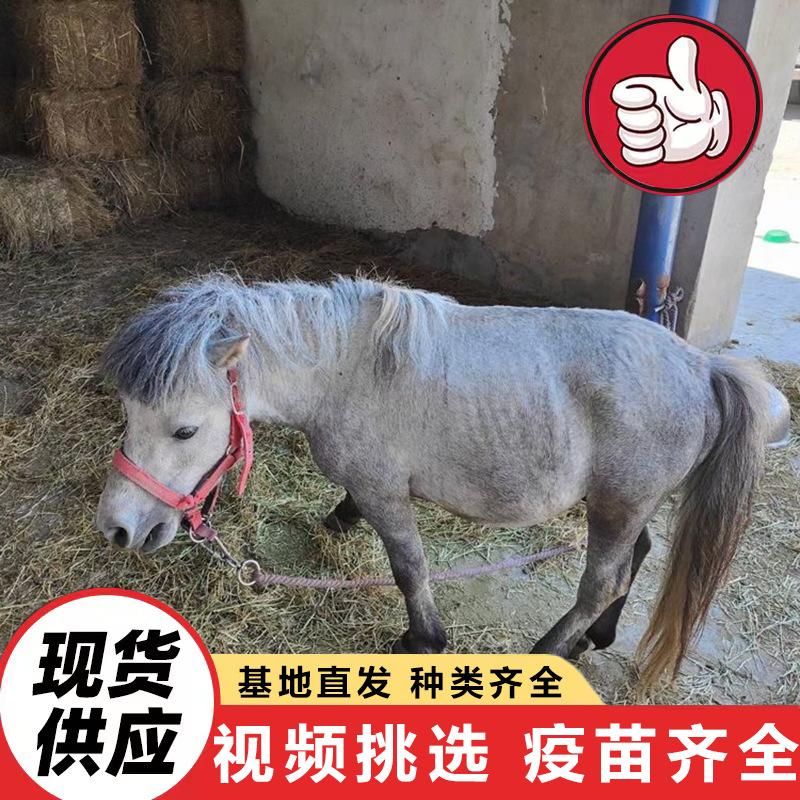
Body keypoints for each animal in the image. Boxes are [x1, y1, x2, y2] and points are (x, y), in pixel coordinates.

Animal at [96, 274, 768, 689]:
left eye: (185, 430)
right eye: (127, 411)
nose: (118, 528)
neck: (346, 370)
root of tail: (703, 368)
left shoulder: (386, 494)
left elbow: (409, 567)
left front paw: (425, 640)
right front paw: (338, 518)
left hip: (617, 506)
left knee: (603, 583)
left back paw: (549, 653)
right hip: (622, 504)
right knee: (635, 559)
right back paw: (591, 639)